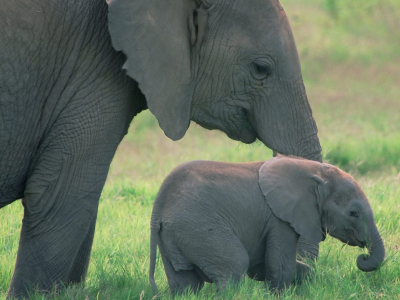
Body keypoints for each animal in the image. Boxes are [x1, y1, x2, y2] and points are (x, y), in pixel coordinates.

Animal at [150, 157, 384, 296]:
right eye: (353, 213)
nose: (363, 256)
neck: (314, 171)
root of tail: (159, 207)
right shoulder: (279, 219)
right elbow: (279, 266)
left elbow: (266, 267)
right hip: (198, 227)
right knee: (234, 266)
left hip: (174, 235)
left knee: (184, 283)